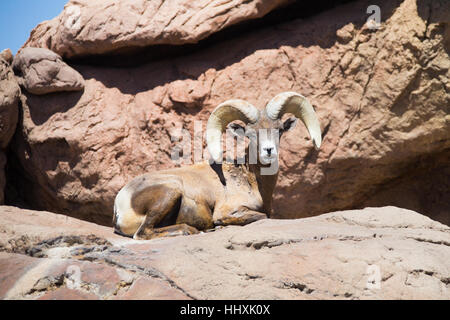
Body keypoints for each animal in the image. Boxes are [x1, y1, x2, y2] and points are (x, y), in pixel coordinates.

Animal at [114, 91, 322, 239]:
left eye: (279, 130)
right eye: (250, 134)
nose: (269, 150)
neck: (251, 180)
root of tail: (120, 205)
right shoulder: (229, 210)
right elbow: (260, 217)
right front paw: (221, 224)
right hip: (171, 190)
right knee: (142, 233)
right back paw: (191, 230)